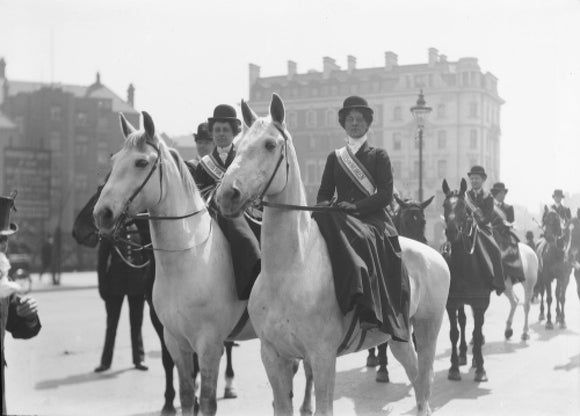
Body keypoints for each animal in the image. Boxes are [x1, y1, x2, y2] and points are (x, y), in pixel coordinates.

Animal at [73, 186, 237, 416]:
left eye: (101, 188)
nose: (77, 229)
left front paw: (192, 398)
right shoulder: (161, 320)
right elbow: (168, 361)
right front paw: (169, 402)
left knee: (228, 346)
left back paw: (229, 383)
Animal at [93, 112, 314, 414]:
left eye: (141, 162)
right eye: (114, 160)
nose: (102, 213)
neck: (186, 260)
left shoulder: (209, 344)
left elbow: (208, 400)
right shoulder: (175, 340)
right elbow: (187, 395)